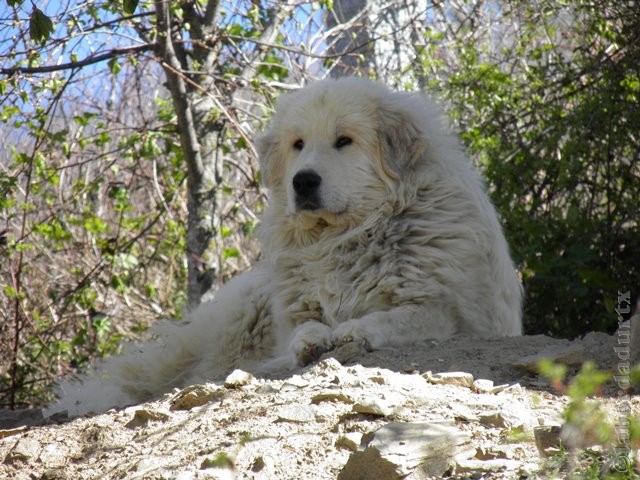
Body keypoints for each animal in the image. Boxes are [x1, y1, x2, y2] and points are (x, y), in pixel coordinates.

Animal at [47, 78, 524, 416]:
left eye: (344, 141)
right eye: (298, 145)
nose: (303, 181)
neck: (348, 235)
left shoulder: (454, 314)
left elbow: (397, 316)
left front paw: (355, 330)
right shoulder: (296, 312)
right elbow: (304, 328)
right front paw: (312, 341)